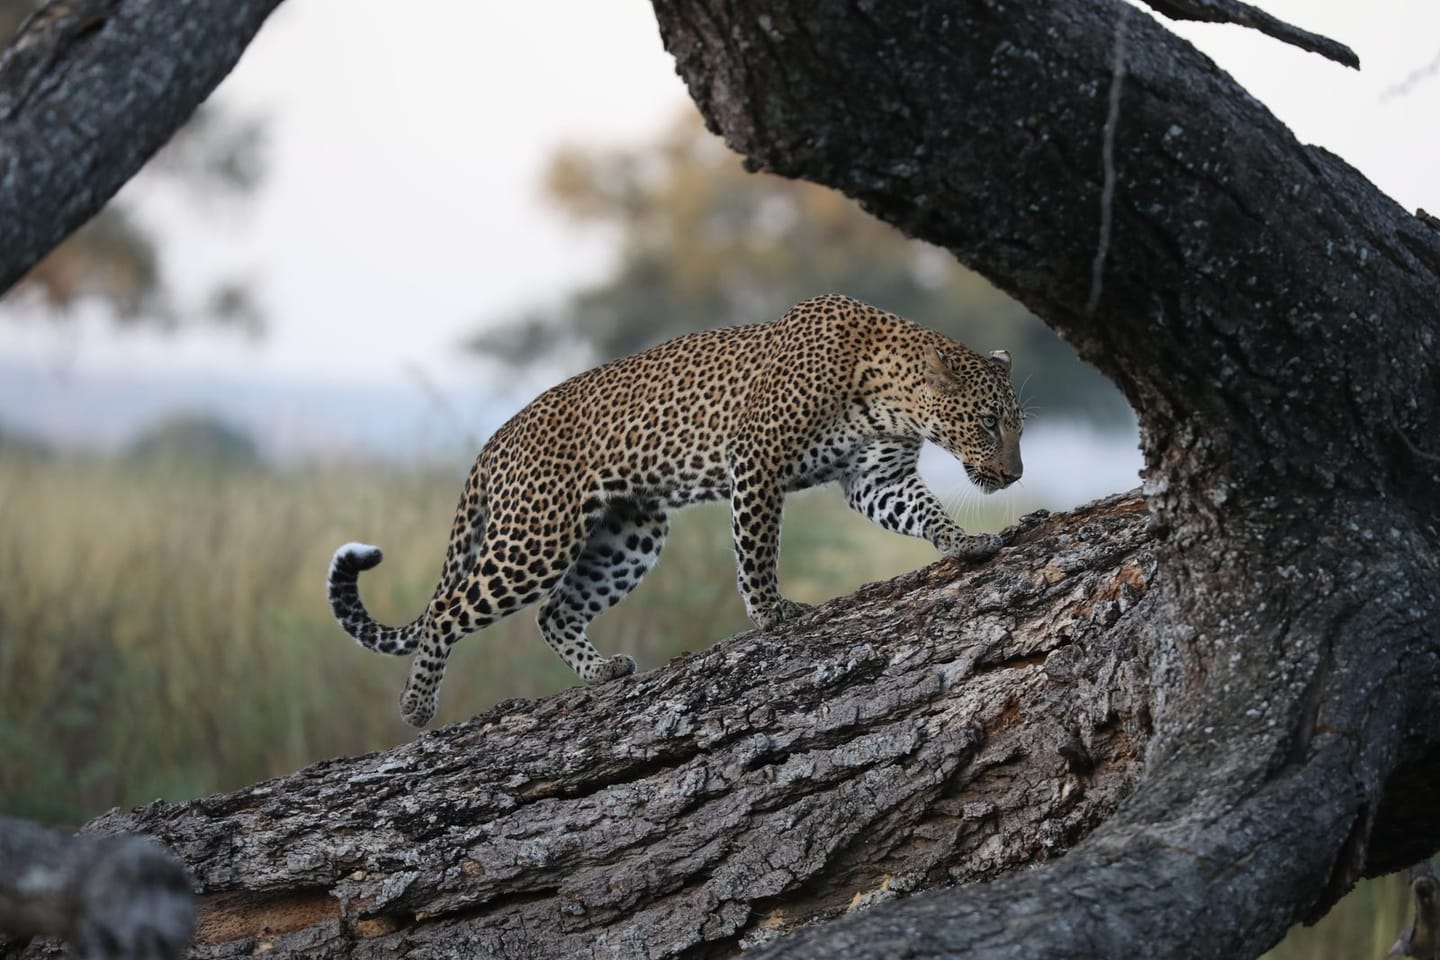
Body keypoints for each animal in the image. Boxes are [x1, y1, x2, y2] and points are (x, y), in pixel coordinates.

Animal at [328, 294, 1025, 727]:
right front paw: (771, 612)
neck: (892, 397)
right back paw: (416, 706)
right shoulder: (758, 457)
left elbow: (925, 512)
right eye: (989, 423)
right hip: (537, 537)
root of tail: (495, 440)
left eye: (1016, 426)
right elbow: (756, 546)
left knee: (554, 613)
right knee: (448, 609)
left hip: (628, 534)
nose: (1015, 475)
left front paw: (966, 542)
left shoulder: (877, 477)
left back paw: (601, 670)